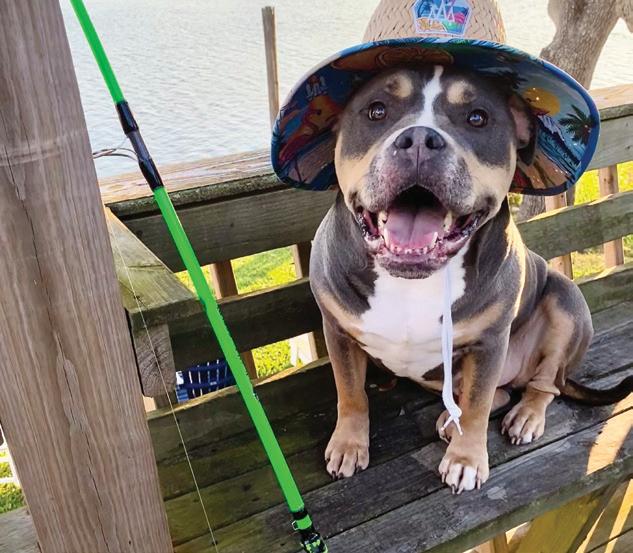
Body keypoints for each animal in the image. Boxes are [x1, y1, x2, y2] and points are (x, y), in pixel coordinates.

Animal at [309, 65, 632, 493]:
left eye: (477, 117)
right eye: (376, 111)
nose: (419, 139)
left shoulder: (489, 342)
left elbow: (478, 406)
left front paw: (465, 460)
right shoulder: (338, 331)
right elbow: (350, 392)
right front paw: (348, 443)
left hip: (566, 301)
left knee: (542, 384)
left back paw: (523, 416)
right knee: (495, 393)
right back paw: (453, 418)